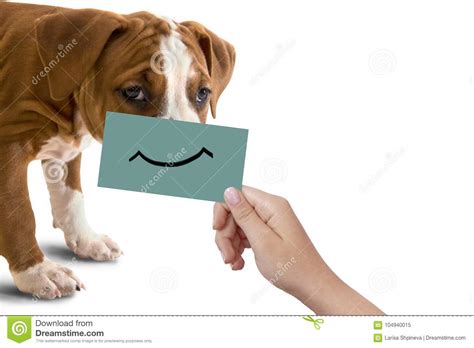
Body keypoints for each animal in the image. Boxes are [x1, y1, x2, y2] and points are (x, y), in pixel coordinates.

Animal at [0, 1, 236, 298]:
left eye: (203, 93)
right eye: (134, 92)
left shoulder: (67, 149)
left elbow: (71, 197)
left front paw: (86, 240)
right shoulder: (8, 151)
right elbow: (18, 213)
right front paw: (37, 272)